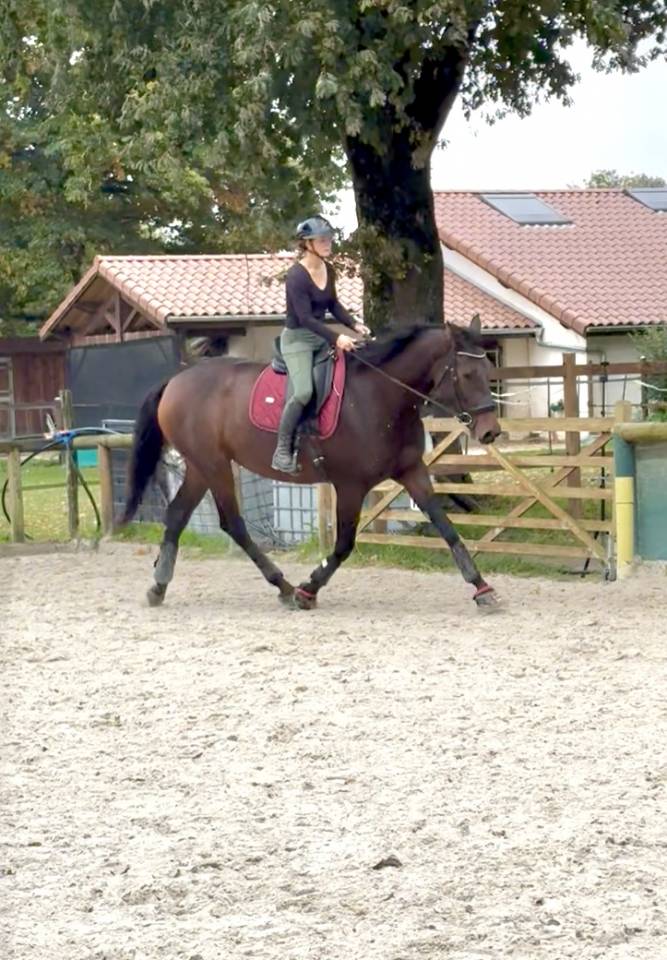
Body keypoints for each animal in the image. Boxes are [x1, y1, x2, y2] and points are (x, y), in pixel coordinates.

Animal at [120, 318, 502, 610]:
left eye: (488, 369)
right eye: (468, 374)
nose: (491, 432)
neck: (381, 396)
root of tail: (176, 380)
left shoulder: (412, 472)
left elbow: (446, 527)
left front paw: (482, 587)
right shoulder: (350, 485)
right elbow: (344, 545)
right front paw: (308, 589)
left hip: (201, 467)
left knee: (177, 516)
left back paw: (158, 587)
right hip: (214, 465)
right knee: (233, 524)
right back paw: (285, 587)